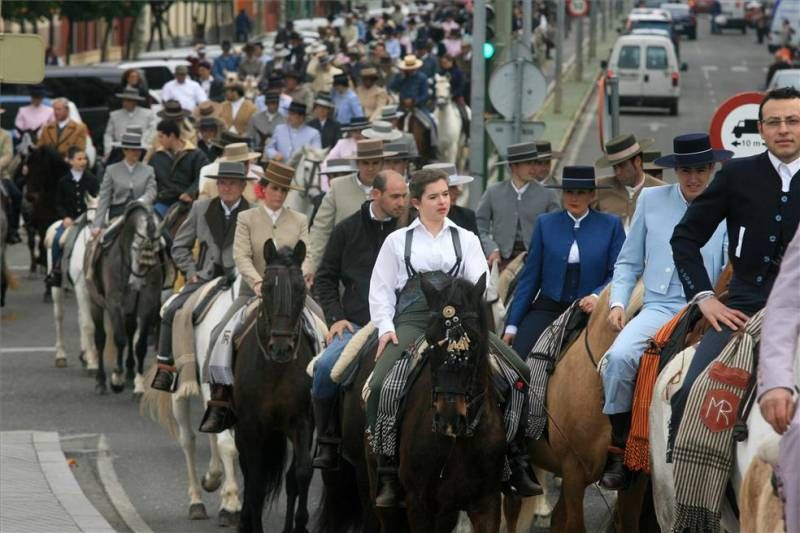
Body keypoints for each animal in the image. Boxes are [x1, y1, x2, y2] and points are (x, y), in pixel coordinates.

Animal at [45, 197, 99, 372]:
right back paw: (61, 355)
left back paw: (84, 354)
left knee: (80, 316)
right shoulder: (82, 288)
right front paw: (93, 363)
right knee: (59, 316)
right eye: (89, 220)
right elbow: (89, 325)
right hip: (57, 288)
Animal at [141, 276, 241, 524]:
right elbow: (227, 444)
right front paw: (231, 504)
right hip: (180, 393)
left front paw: (229, 497)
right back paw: (197, 501)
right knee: (188, 440)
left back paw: (214, 479)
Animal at [234, 241, 316, 532]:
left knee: (290, 479)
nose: (281, 348)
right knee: (249, 475)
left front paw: (300, 525)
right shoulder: (250, 427)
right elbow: (256, 485)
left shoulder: (302, 422)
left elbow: (301, 474)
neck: (276, 370)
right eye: (267, 287)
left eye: (301, 288)